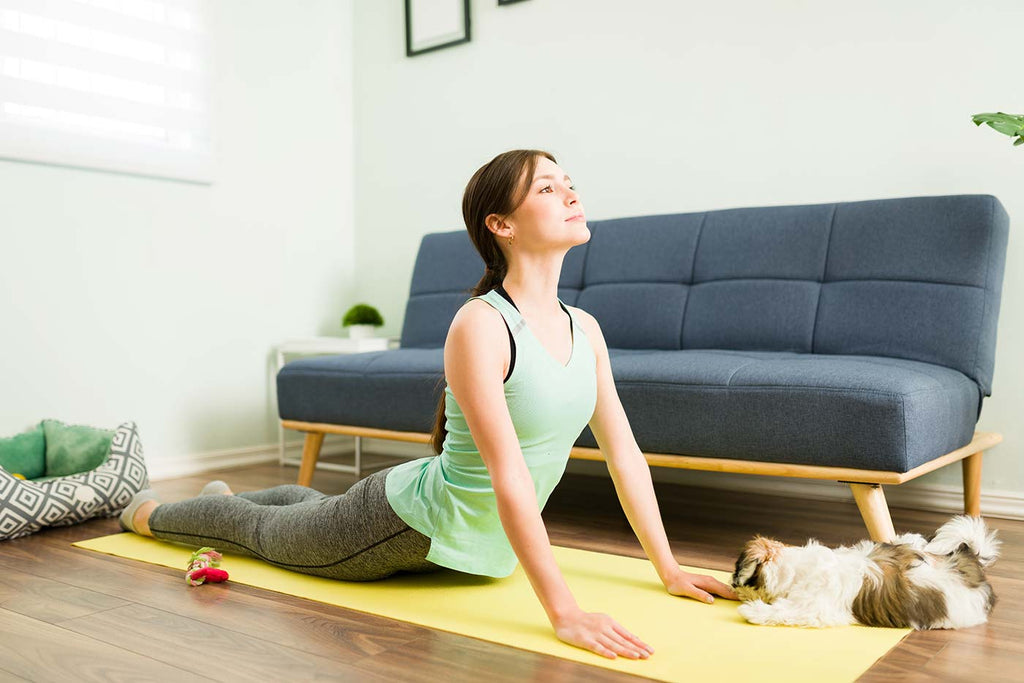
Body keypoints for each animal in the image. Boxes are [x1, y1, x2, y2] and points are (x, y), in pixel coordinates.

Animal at [729, 511, 999, 630]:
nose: (732, 586)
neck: (798, 568)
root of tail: (969, 561)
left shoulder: (813, 606)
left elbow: (787, 611)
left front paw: (753, 611)